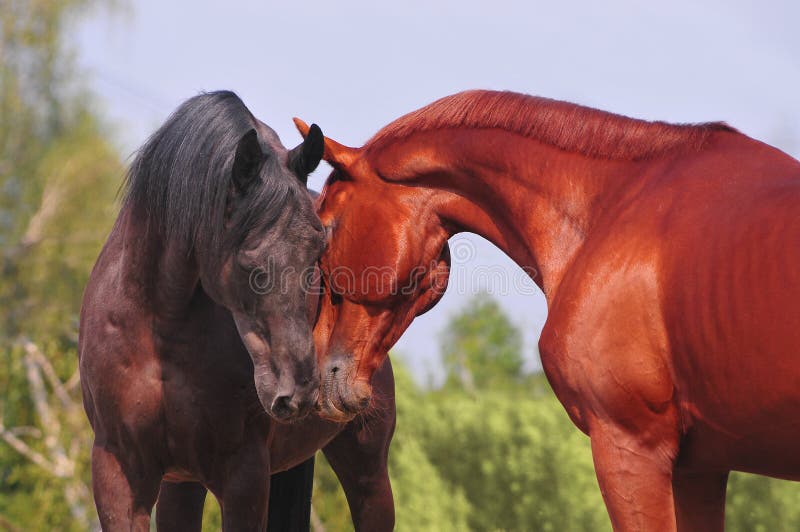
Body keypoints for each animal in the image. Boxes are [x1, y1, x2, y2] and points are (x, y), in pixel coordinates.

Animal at [78, 91, 395, 531]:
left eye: (319, 253)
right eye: (250, 261)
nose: (300, 390)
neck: (160, 328)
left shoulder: (244, 476)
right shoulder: (119, 473)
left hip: (367, 467)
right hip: (183, 484)